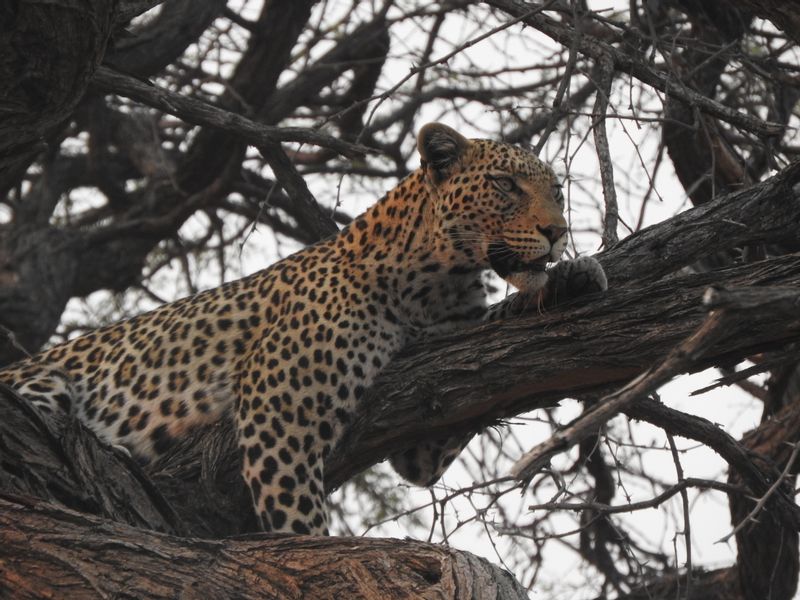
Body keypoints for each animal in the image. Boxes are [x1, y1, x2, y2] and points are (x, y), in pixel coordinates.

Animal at [0, 123, 608, 536]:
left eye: (557, 192)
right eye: (505, 185)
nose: (558, 232)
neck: (439, 280)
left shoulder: (433, 415)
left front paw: (571, 277)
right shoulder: (278, 408)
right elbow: (300, 521)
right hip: (43, 384)